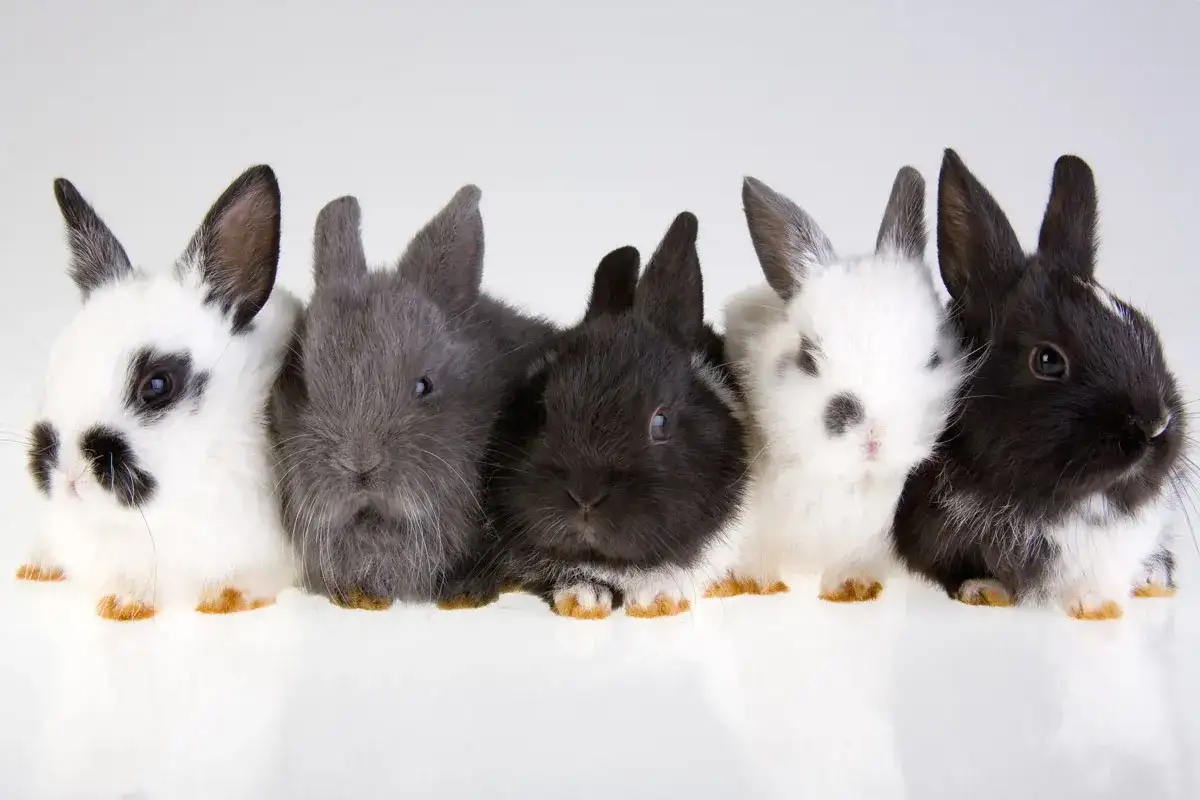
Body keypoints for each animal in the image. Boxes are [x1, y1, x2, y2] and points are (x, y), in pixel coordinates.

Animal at [716, 167, 964, 602]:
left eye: (934, 357)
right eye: (807, 357)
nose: (874, 437)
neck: (845, 481)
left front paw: (852, 588)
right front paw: (751, 583)